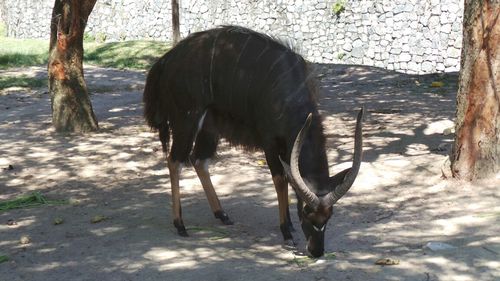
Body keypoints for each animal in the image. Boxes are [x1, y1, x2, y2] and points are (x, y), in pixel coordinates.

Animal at [145, 25, 364, 256]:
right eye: (306, 212)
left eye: (329, 215)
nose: (316, 251)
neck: (288, 91)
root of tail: (166, 60)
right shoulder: (269, 143)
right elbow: (280, 179)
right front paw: (286, 231)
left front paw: (289, 225)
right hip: (186, 121)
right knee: (175, 160)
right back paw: (180, 224)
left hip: (208, 128)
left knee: (198, 160)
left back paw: (222, 214)